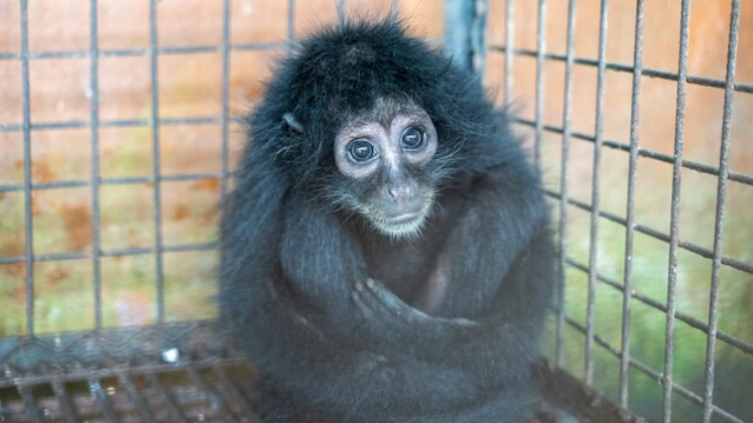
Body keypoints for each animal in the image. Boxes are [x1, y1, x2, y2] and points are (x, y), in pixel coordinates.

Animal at [220, 19, 555, 423]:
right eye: (362, 150)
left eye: (413, 137)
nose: (400, 188)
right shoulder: (267, 163)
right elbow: (256, 299)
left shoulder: (475, 119)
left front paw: (412, 335)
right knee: (309, 203)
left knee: (507, 190)